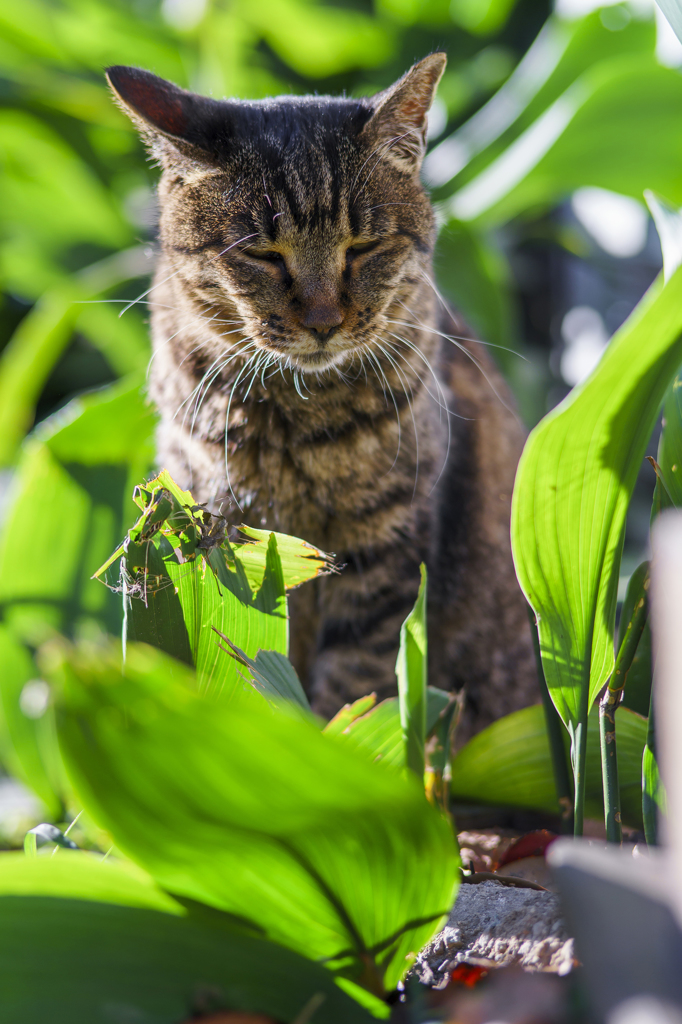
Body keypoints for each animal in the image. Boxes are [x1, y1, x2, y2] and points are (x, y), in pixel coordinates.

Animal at [104, 56, 536, 741]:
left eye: (362, 248)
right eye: (262, 254)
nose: (324, 321)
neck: (294, 424)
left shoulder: (386, 553)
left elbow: (357, 691)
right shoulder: (206, 519)